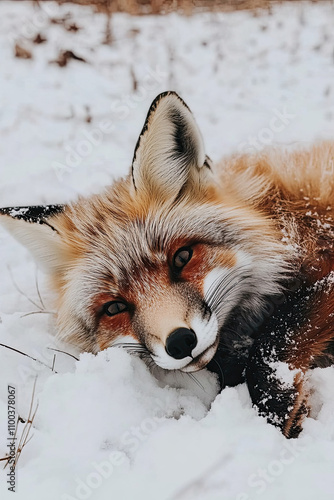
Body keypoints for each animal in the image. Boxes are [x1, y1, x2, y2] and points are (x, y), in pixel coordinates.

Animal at [0, 93, 334, 438]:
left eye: (182, 258)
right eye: (114, 307)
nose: (180, 342)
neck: (279, 220)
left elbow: (276, 338)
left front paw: (275, 408)